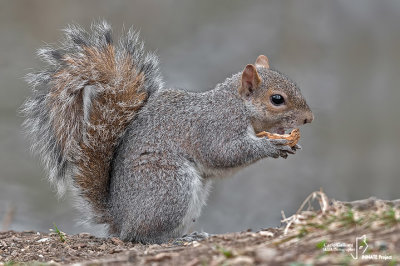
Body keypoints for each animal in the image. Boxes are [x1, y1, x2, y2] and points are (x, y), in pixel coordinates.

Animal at [21, 21, 314, 244]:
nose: (309, 118)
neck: (238, 105)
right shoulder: (216, 125)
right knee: (140, 236)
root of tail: (120, 218)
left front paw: (290, 145)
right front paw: (272, 147)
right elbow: (223, 153)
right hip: (170, 187)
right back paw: (171, 240)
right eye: (277, 99)